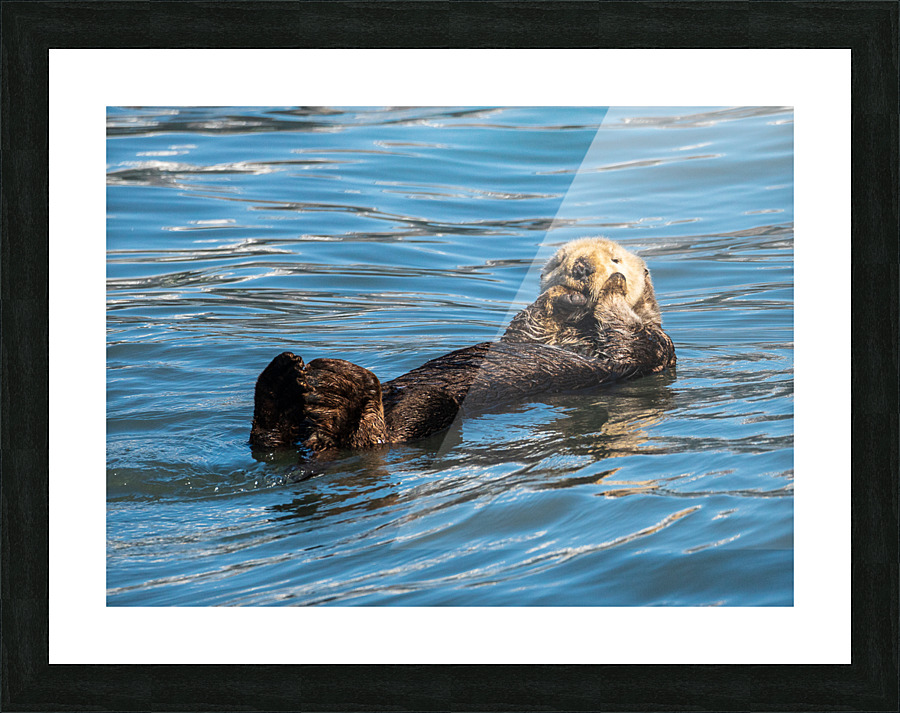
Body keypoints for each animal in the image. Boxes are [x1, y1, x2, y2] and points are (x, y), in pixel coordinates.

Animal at [249, 238, 676, 454]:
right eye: (559, 262)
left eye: (615, 258)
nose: (581, 268)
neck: (576, 330)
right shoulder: (527, 334)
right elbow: (531, 323)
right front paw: (558, 297)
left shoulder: (653, 347)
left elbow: (627, 333)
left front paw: (612, 286)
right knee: (272, 437)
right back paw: (283, 380)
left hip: (430, 406)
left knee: (373, 437)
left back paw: (340, 393)